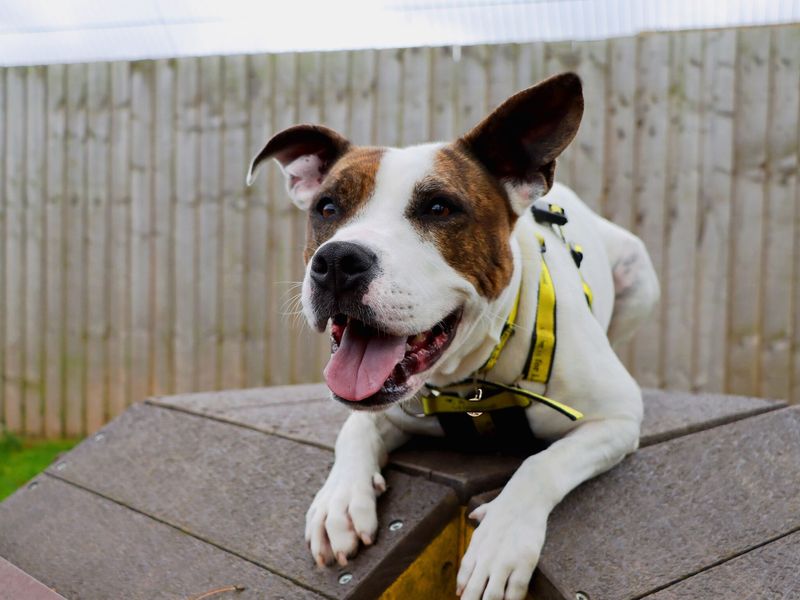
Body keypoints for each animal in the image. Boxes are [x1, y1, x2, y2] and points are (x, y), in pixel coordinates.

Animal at [247, 71, 660, 600]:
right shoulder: (391, 407)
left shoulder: (616, 418)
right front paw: (339, 501)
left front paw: (499, 541)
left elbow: (542, 463)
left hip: (639, 275)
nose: (337, 260)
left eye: (439, 208)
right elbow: (355, 426)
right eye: (327, 207)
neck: (472, 381)